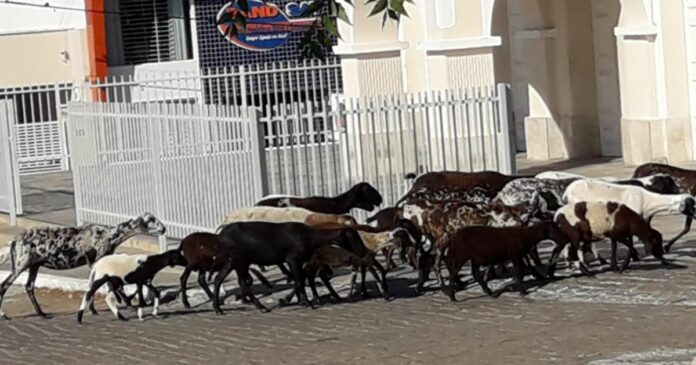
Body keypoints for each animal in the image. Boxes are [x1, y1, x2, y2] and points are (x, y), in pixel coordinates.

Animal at [0, 212, 165, 318]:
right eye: (151, 219)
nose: (163, 228)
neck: (109, 235)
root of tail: (14, 241)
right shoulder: (97, 261)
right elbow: (100, 285)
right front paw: (98, 308)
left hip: (34, 265)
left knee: (29, 286)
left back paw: (42, 314)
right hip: (21, 264)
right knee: (4, 285)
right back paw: (4, 314)